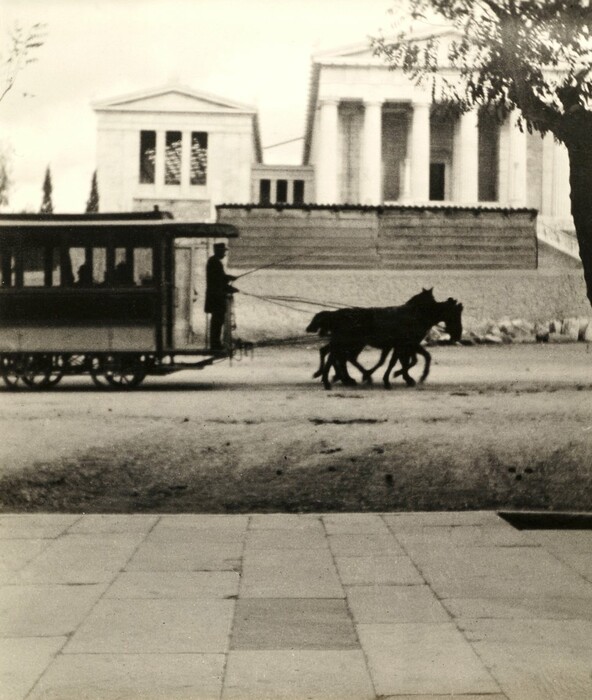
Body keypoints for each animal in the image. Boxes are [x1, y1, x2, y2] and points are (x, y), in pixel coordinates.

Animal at [316, 296, 464, 392]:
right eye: (455, 313)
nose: (457, 334)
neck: (418, 317)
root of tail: (336, 315)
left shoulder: (404, 345)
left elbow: (406, 360)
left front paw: (406, 378)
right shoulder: (405, 344)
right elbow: (399, 362)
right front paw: (392, 378)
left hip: (350, 344)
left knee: (338, 357)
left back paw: (339, 379)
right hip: (348, 343)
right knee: (336, 357)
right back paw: (331, 380)